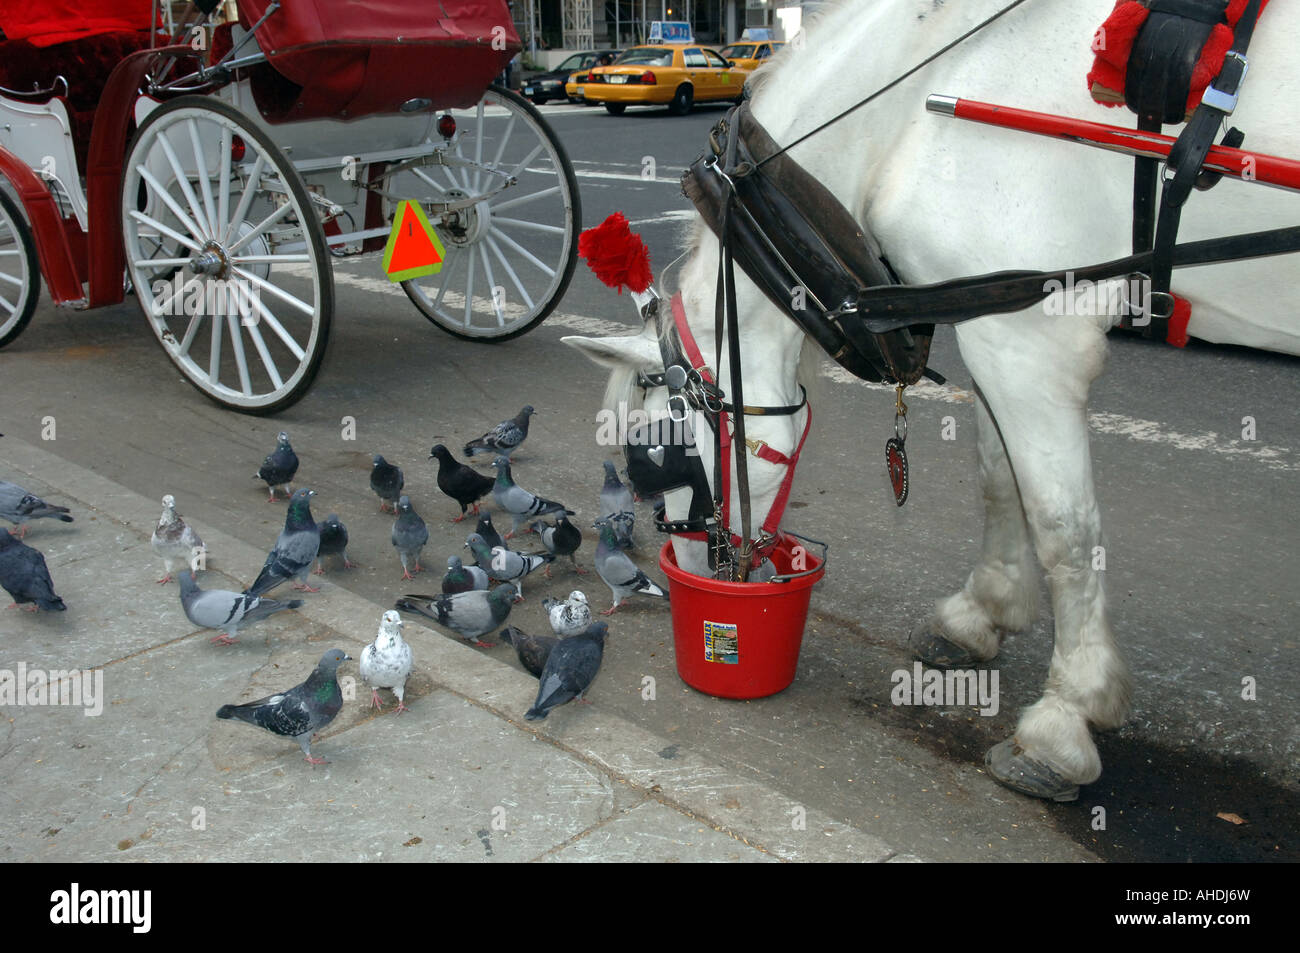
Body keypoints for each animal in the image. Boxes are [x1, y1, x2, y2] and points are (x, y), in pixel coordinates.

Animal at [566, 1, 1300, 795]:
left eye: (662, 459)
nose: (695, 575)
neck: (917, 98)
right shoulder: (994, 330)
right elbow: (999, 479)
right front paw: (982, 613)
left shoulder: (1032, 341)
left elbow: (1064, 527)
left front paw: (1066, 719)